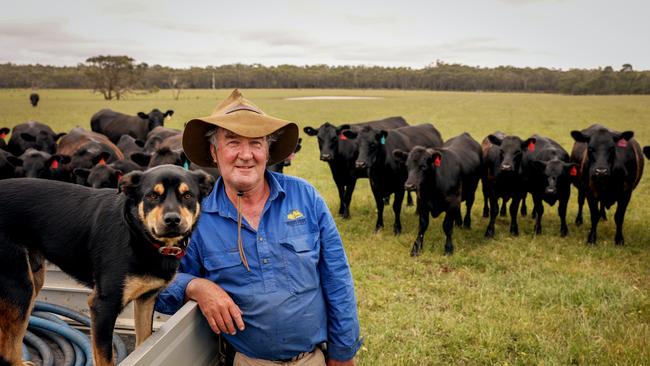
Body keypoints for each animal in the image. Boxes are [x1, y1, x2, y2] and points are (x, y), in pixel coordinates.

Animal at [0, 164, 213, 364]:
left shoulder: (146, 298)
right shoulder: (103, 306)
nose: (172, 220)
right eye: (152, 195)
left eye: (187, 195)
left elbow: (144, 342)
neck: (138, 233)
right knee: (9, 352)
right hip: (21, 287)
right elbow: (106, 358)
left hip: (33, 279)